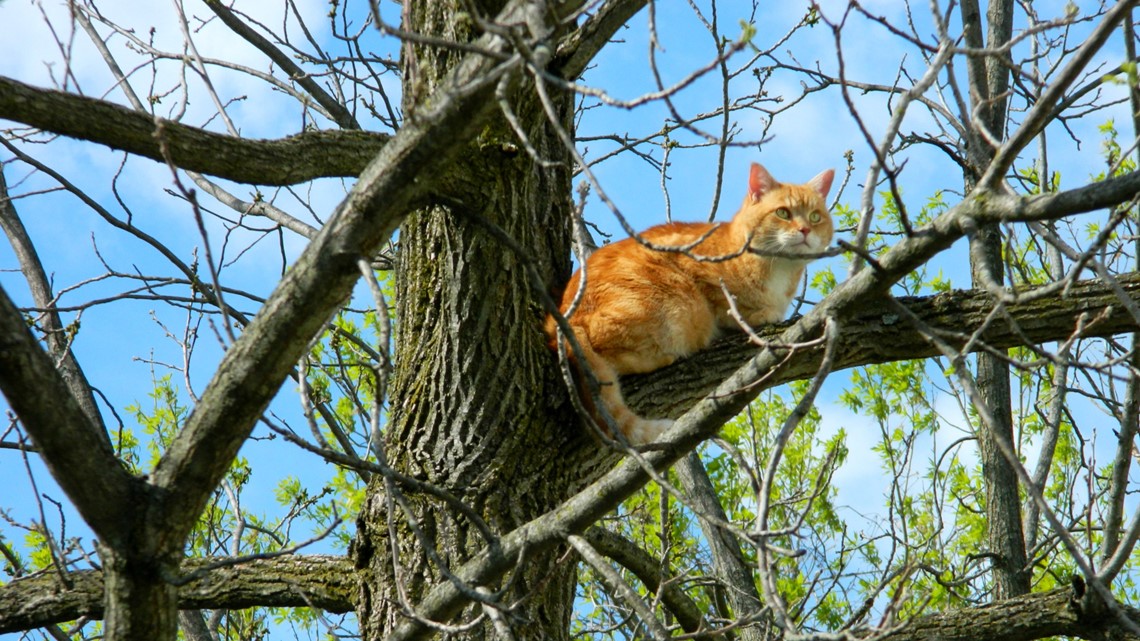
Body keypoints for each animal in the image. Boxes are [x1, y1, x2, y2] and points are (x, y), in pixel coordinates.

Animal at [547, 163, 834, 444]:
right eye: (783, 213)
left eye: (815, 217)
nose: (805, 230)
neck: (780, 270)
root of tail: (563, 318)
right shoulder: (702, 276)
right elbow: (728, 307)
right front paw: (759, 314)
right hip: (678, 306)